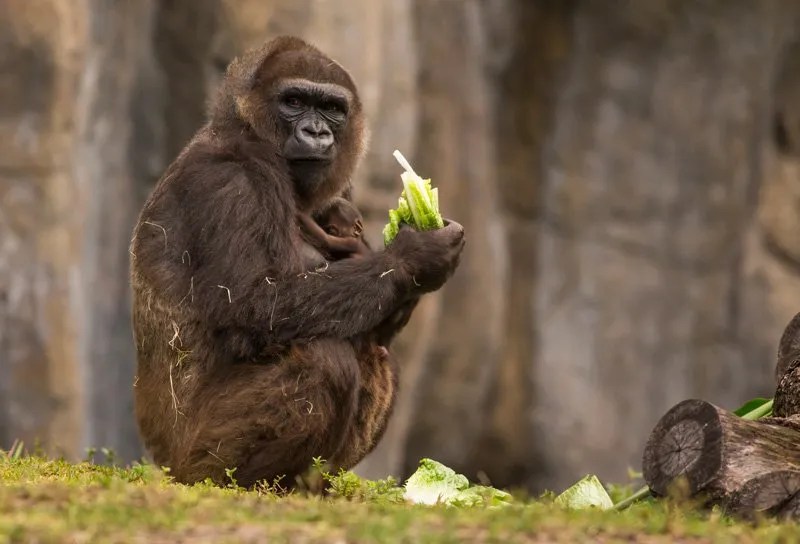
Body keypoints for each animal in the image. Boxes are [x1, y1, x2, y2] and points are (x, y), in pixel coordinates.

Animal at [129, 35, 465, 489]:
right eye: (293, 101)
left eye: (332, 108)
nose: (316, 131)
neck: (243, 130)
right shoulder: (229, 184)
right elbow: (256, 305)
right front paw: (415, 255)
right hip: (181, 461)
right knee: (326, 360)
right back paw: (245, 482)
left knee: (376, 354)